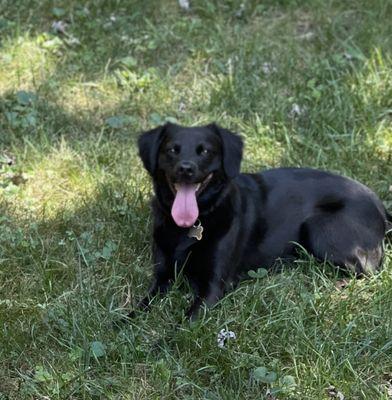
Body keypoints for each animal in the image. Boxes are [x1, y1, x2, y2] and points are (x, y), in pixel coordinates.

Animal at [136, 123, 390, 318]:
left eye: (205, 151)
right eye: (172, 150)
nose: (186, 169)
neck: (193, 225)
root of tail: (380, 205)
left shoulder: (214, 286)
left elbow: (183, 325)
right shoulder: (162, 275)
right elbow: (139, 307)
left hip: (319, 228)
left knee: (370, 271)